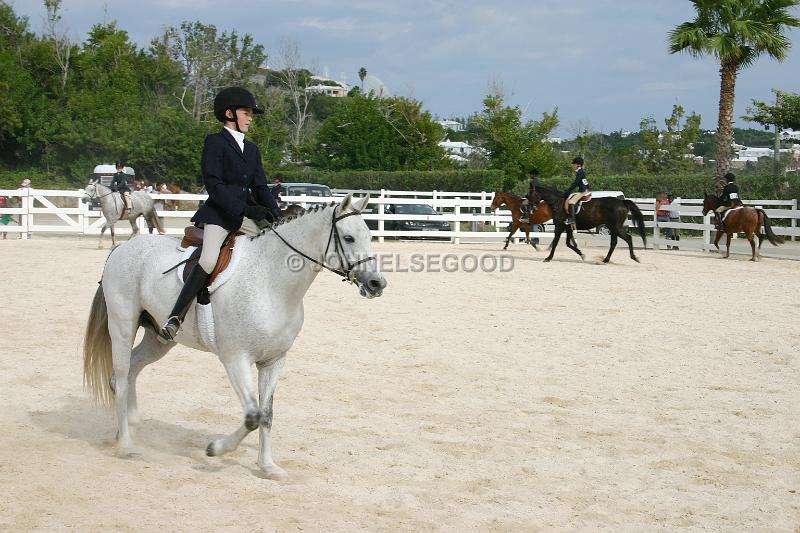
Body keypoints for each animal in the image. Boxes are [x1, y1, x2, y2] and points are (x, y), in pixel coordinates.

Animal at [83, 193, 386, 480]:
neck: (272, 283)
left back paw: (130, 425)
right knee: (122, 378)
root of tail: (122, 248)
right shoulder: (235, 359)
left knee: (129, 370)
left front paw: (268, 467)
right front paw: (215, 449)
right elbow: (252, 416)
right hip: (123, 327)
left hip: (159, 339)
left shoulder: (274, 361)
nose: (376, 283)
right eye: (348, 237)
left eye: (369, 235)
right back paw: (126, 445)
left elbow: (266, 415)